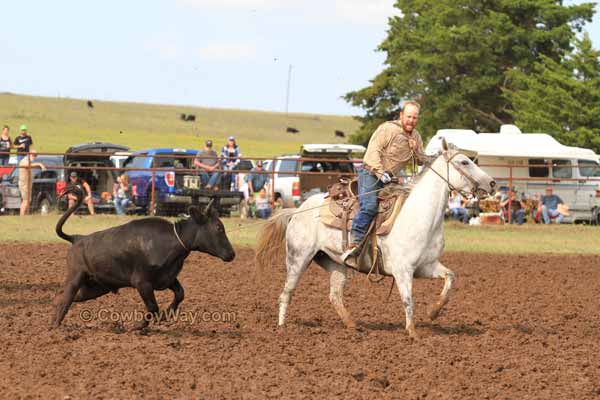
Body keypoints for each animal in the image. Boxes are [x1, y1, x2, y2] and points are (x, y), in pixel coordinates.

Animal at [50, 189, 236, 330]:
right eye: (218, 228)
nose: (232, 254)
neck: (172, 241)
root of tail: (77, 238)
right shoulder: (142, 282)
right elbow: (153, 306)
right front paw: (139, 325)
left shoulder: (168, 277)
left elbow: (180, 293)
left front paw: (166, 314)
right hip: (76, 277)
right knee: (65, 299)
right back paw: (54, 327)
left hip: (96, 287)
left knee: (64, 298)